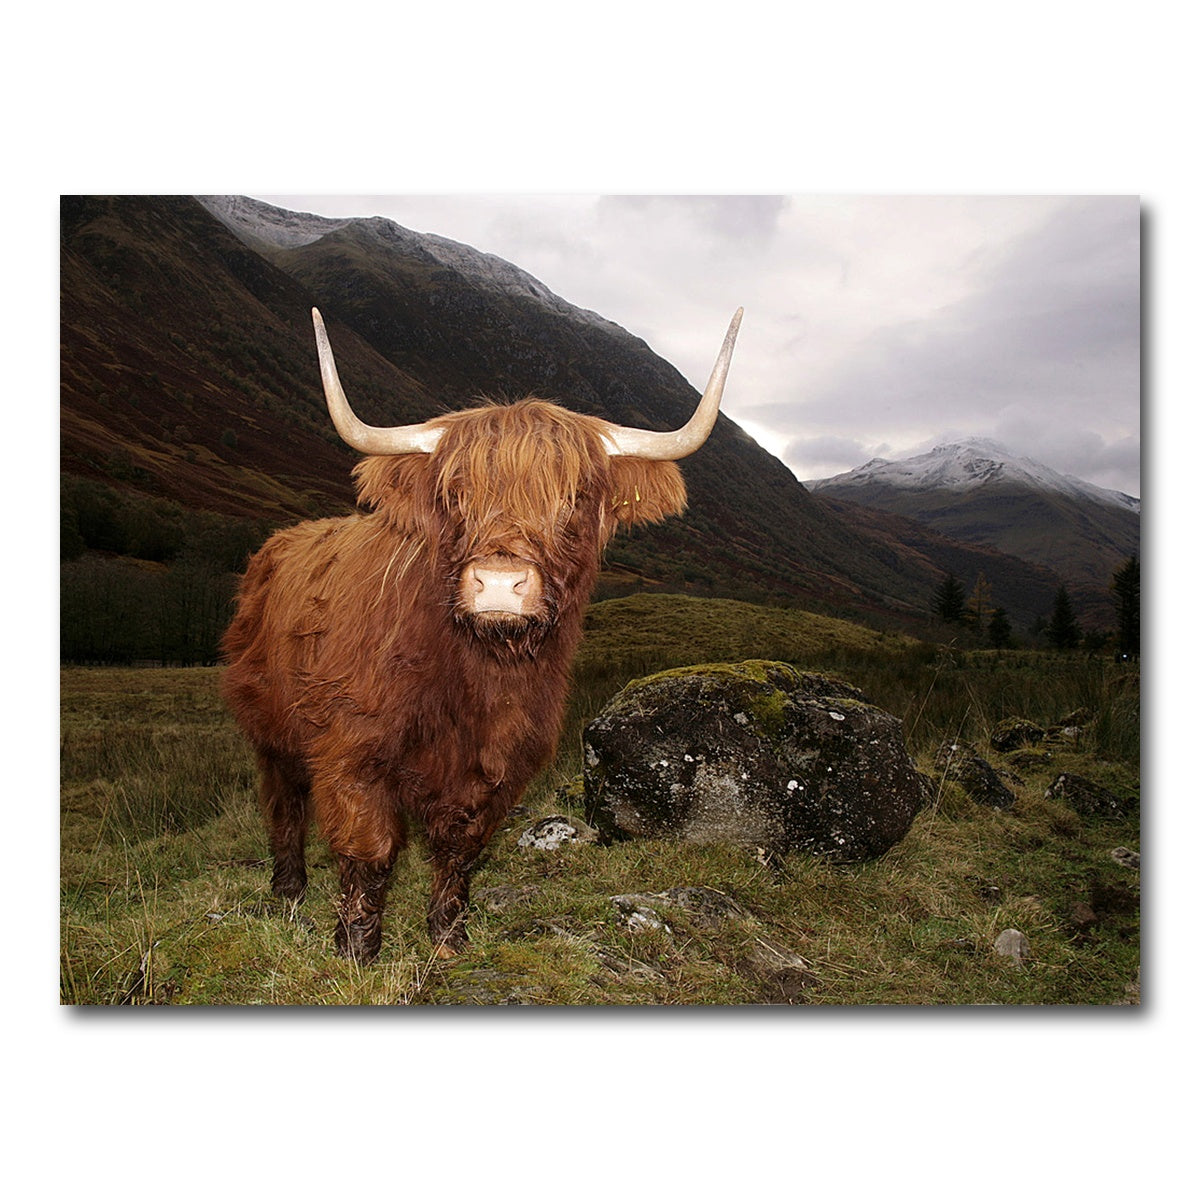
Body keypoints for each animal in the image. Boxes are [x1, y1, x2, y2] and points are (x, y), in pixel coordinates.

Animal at [221, 306, 742, 961]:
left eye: (574, 498)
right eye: (454, 494)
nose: (497, 583)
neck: (477, 677)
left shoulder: (502, 761)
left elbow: (461, 849)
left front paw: (448, 938)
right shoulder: (351, 748)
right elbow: (368, 851)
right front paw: (355, 950)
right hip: (269, 727)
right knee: (284, 805)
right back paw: (288, 890)